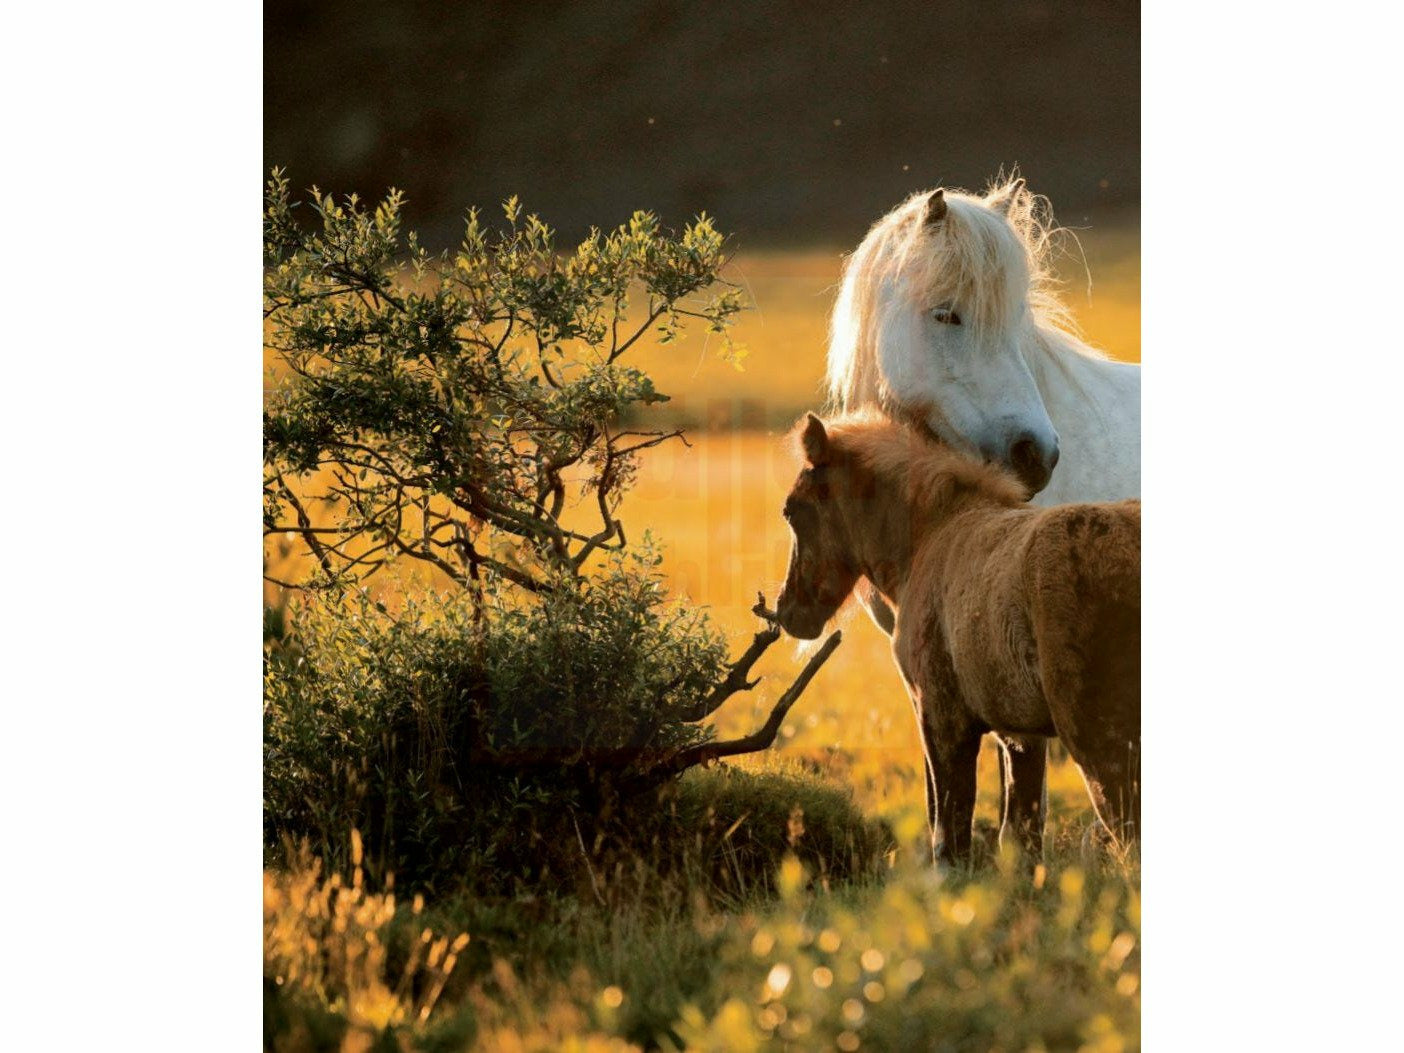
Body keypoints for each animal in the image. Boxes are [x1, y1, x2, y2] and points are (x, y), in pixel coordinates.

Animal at [775, 411, 1140, 864]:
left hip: (1100, 739)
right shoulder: (1021, 736)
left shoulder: (940, 716)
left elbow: (948, 830)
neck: (931, 537)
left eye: (791, 510)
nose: (788, 611)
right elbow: (1019, 834)